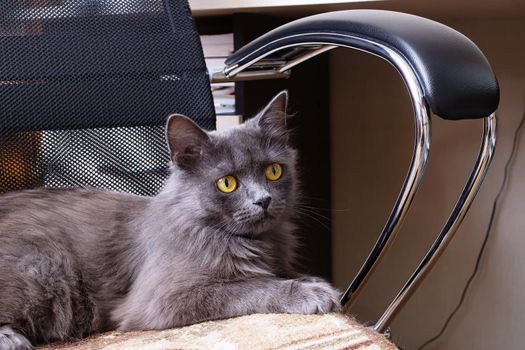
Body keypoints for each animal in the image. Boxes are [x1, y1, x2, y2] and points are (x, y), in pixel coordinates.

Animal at [0, 91, 340, 348]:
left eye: (274, 171)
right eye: (227, 183)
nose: (263, 200)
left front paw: (310, 280)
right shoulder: (164, 299)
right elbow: (251, 287)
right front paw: (309, 292)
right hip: (44, 262)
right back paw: (12, 340)